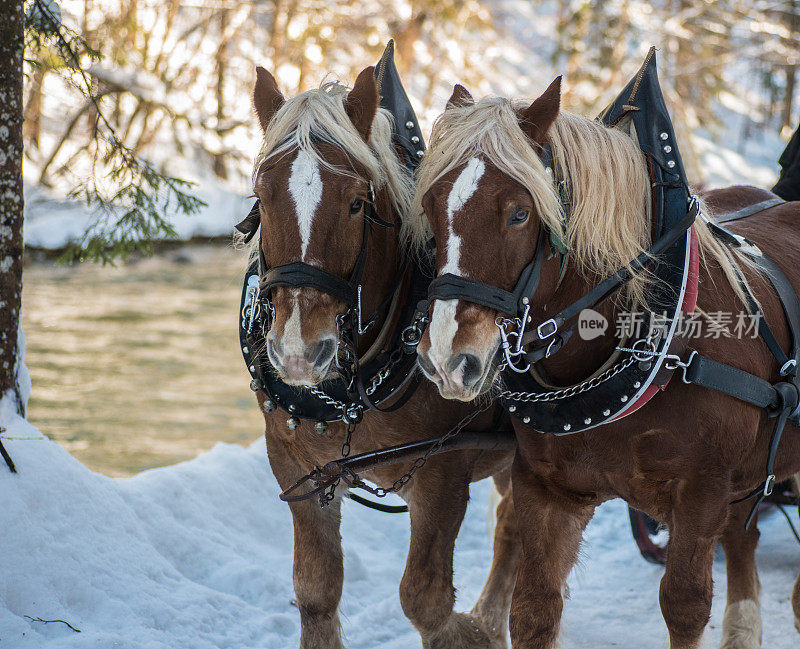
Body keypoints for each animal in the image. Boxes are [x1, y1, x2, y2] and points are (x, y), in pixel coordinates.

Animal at [248, 67, 520, 648]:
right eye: (262, 196)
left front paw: (466, 632)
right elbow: (316, 591)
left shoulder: (443, 468)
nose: (299, 352)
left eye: (356, 203)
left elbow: (425, 600)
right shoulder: (297, 464)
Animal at [412, 77, 800, 648]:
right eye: (433, 205)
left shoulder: (704, 488)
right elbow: (533, 610)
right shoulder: (548, 488)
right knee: (742, 534)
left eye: (519, 213)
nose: (444, 358)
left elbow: (685, 606)